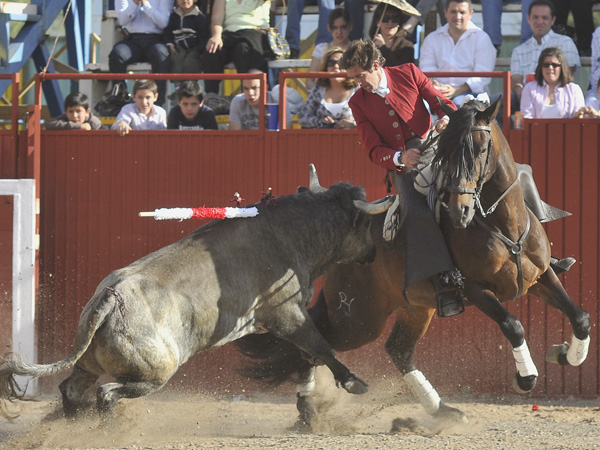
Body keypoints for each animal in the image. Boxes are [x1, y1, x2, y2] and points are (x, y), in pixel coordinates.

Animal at [236, 98, 592, 428]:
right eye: (446, 156)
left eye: (479, 150)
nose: (460, 211)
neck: (505, 226)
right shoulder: (476, 290)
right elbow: (513, 324)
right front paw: (526, 378)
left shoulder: (541, 277)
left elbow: (580, 317)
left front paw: (565, 353)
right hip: (357, 320)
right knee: (316, 341)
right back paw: (307, 410)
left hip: (416, 308)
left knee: (398, 351)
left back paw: (443, 411)